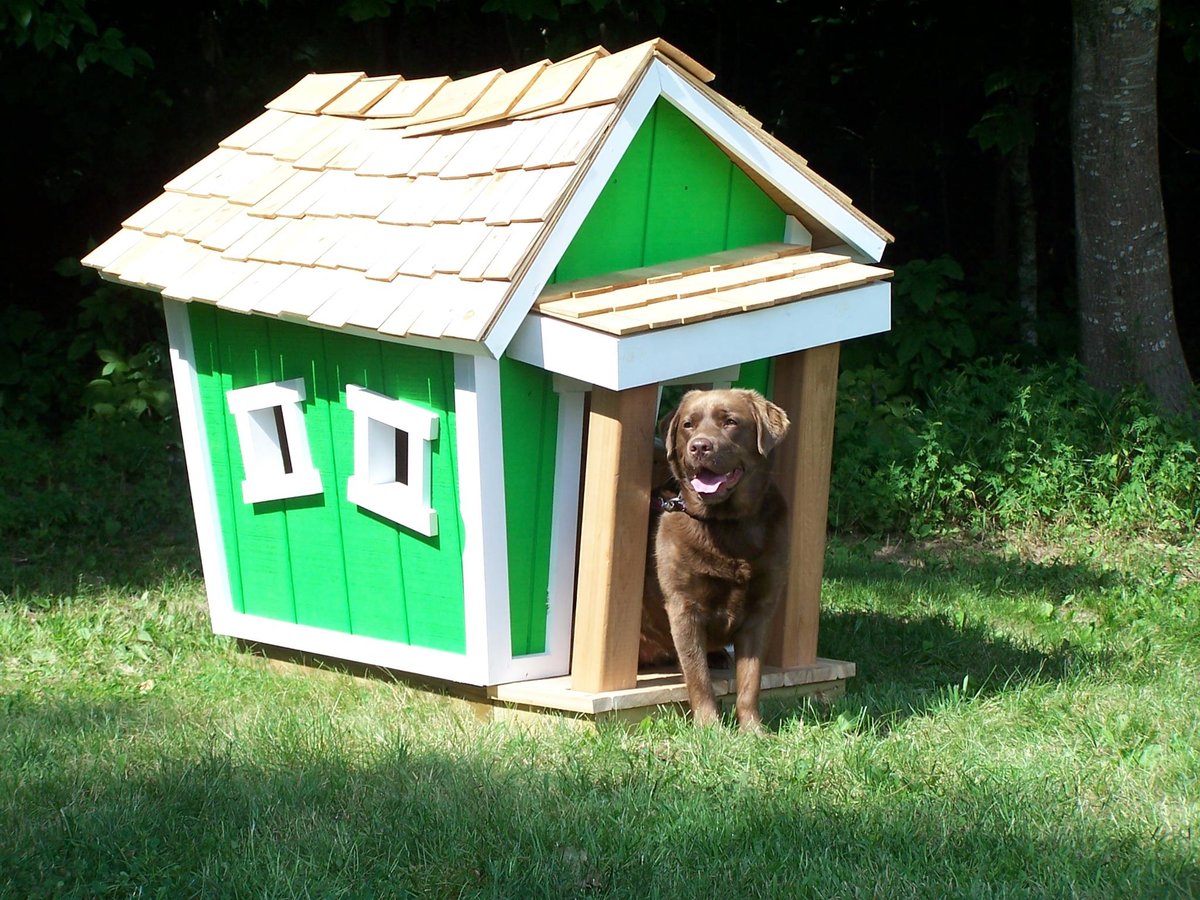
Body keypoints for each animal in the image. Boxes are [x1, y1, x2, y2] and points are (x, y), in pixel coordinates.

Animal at [643, 388, 792, 734]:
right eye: (688, 424)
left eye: (730, 422)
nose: (700, 446)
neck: (728, 526)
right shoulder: (684, 607)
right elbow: (698, 677)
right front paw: (711, 730)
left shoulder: (760, 611)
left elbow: (750, 680)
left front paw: (753, 730)